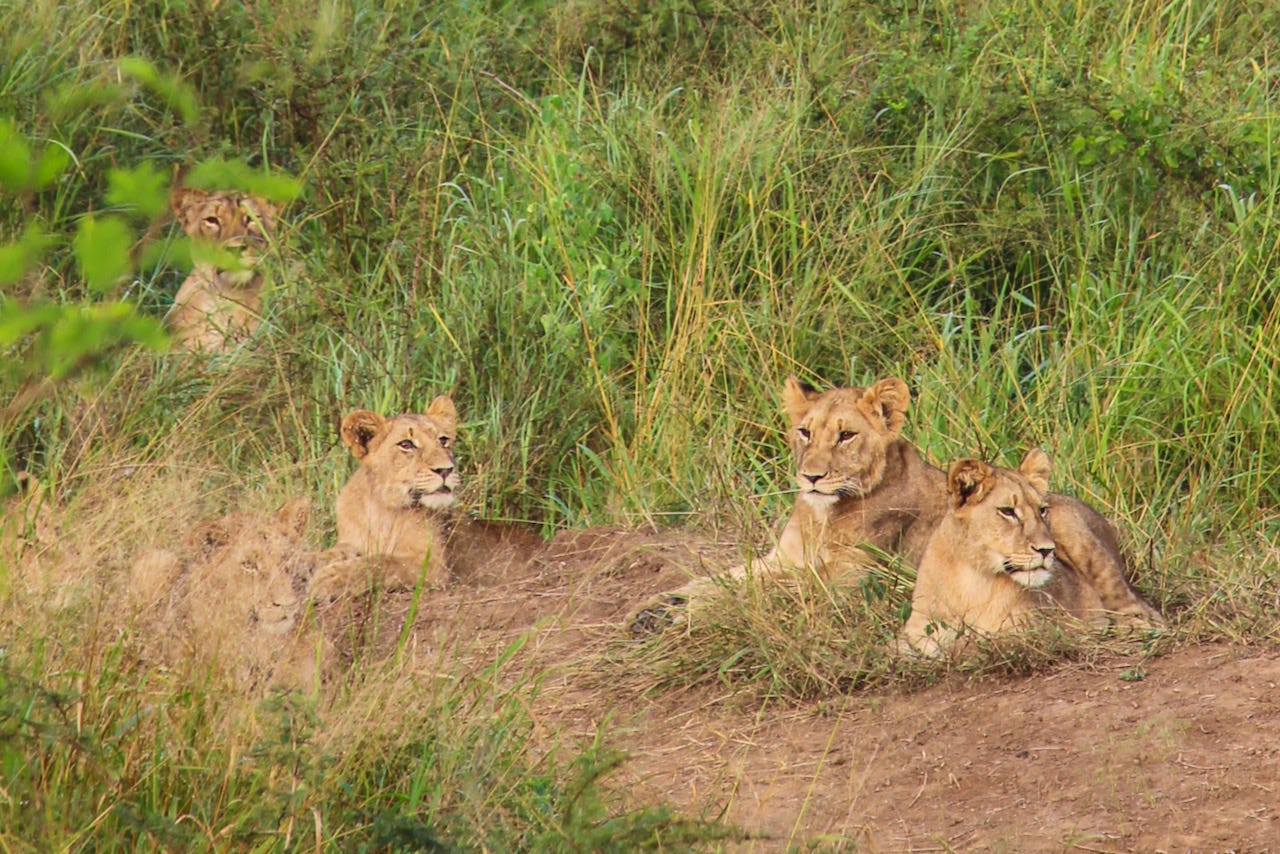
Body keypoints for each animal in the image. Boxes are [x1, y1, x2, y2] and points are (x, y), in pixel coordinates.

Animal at [309, 397, 461, 601]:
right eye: (406, 444)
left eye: (443, 440)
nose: (446, 470)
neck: (384, 509)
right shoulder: (351, 543)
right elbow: (328, 554)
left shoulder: (433, 565)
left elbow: (382, 561)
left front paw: (331, 578)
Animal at [630, 376, 1161, 632]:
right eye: (804, 432)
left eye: (846, 436)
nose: (811, 476)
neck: (823, 515)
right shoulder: (782, 559)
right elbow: (723, 580)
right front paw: (657, 606)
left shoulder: (850, 586)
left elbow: (763, 596)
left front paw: (682, 615)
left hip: (1073, 535)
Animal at [900, 450, 1113, 656]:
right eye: (1008, 511)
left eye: (1042, 510)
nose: (1046, 550)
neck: (973, 579)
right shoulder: (918, 627)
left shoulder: (1031, 634)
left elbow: (974, 645)